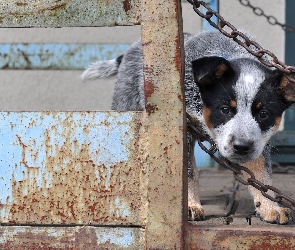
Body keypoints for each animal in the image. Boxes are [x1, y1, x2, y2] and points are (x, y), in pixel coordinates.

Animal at [82, 30, 295, 224]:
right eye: (225, 109)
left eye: (264, 114)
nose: (241, 147)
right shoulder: (183, 128)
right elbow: (189, 172)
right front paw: (191, 205)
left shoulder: (258, 140)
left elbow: (262, 174)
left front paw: (270, 208)